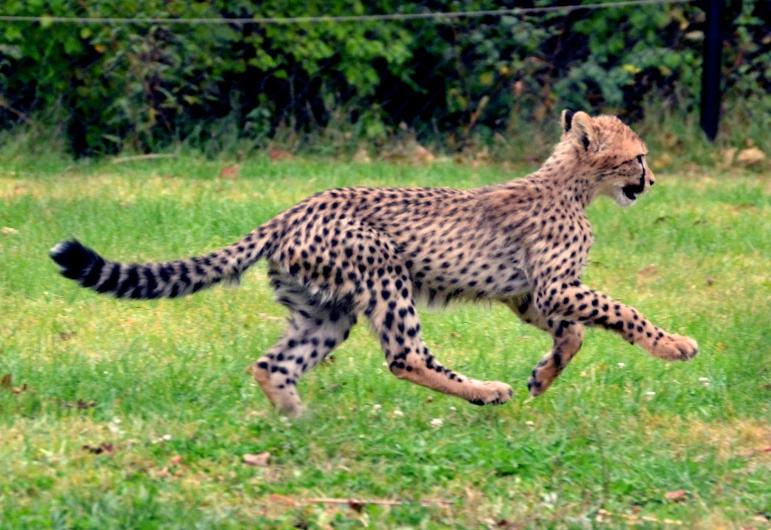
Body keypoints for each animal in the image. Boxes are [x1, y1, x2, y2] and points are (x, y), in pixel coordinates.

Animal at [48, 112, 700, 416]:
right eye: (639, 156)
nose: (652, 181)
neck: (571, 184)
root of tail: (296, 207)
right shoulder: (554, 287)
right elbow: (620, 311)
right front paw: (673, 344)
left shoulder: (529, 295)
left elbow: (574, 334)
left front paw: (545, 374)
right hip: (382, 271)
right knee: (406, 356)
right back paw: (485, 391)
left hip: (324, 309)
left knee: (273, 363)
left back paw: (295, 416)